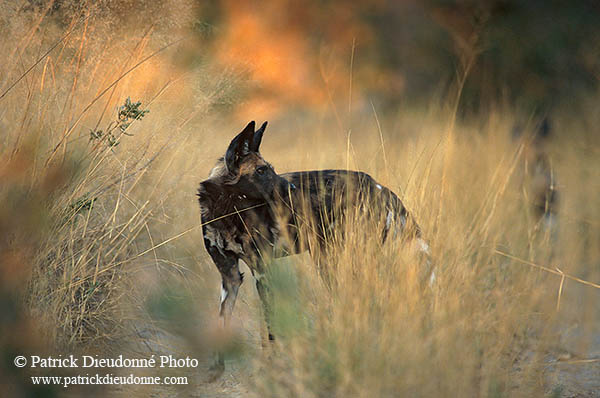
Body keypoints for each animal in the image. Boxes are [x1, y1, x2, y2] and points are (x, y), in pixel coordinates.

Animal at [197, 120, 432, 376]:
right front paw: (216, 370)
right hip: (329, 260)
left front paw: (270, 367)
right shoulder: (230, 277)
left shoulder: (263, 272)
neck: (225, 210)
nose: (291, 187)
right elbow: (222, 322)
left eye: (270, 169)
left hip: (338, 260)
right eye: (261, 171)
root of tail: (379, 187)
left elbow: (269, 331)